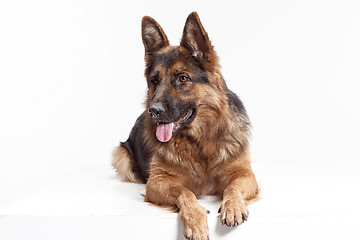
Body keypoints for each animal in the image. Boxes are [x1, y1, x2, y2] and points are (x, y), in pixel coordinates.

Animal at [112, 11, 258, 240]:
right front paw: (196, 220)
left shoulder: (245, 174)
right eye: (154, 81)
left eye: (182, 78)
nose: (153, 111)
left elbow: (233, 187)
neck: (199, 141)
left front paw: (233, 207)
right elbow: (184, 192)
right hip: (121, 156)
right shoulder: (157, 182)